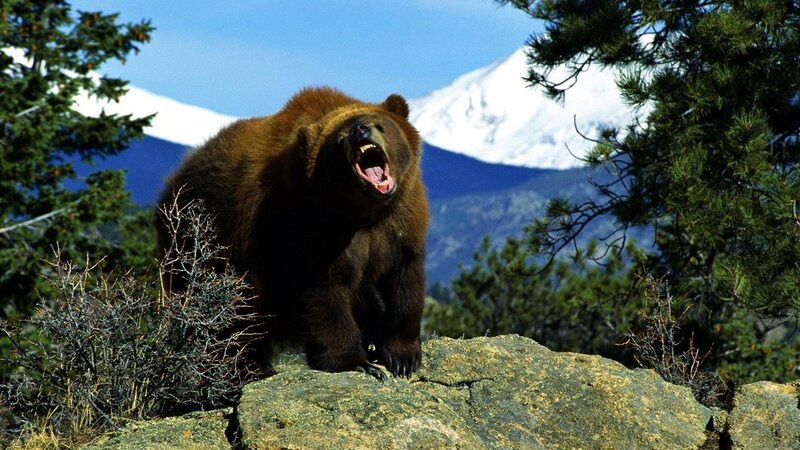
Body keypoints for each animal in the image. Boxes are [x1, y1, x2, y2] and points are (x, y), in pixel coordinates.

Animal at [155, 87, 428, 381]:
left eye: (379, 125)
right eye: (340, 138)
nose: (359, 130)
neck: (363, 210)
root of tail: (173, 181)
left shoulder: (400, 223)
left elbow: (403, 282)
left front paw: (402, 357)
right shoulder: (310, 226)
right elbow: (325, 291)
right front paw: (355, 362)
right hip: (204, 243)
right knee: (229, 316)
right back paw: (246, 367)